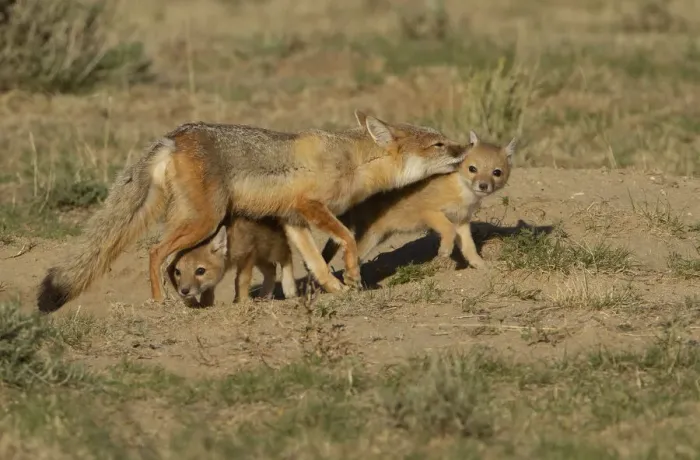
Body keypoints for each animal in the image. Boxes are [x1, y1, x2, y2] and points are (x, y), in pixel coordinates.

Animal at [168, 213, 297, 307]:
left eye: (200, 271)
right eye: (177, 272)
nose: (184, 291)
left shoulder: (248, 255)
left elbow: (241, 280)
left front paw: (242, 301)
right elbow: (209, 288)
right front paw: (206, 303)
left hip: (272, 250)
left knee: (288, 256)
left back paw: (289, 287)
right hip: (261, 258)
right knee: (271, 270)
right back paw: (264, 296)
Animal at [321, 130, 515, 270]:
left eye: (497, 172)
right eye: (472, 169)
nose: (483, 185)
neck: (462, 192)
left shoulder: (462, 222)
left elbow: (469, 247)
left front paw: (480, 264)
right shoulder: (430, 212)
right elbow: (448, 230)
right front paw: (444, 250)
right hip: (372, 237)